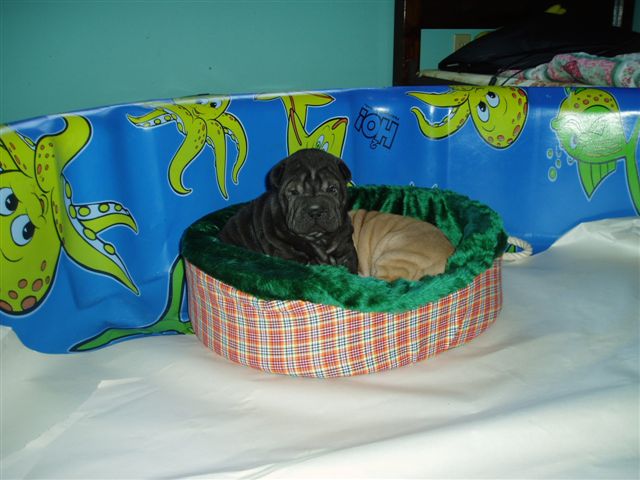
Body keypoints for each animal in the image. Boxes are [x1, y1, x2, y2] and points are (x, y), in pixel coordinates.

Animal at [219, 149, 358, 273]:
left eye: (332, 189)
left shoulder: (346, 249)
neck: (318, 238)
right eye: (294, 192)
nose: (315, 211)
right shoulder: (286, 253)